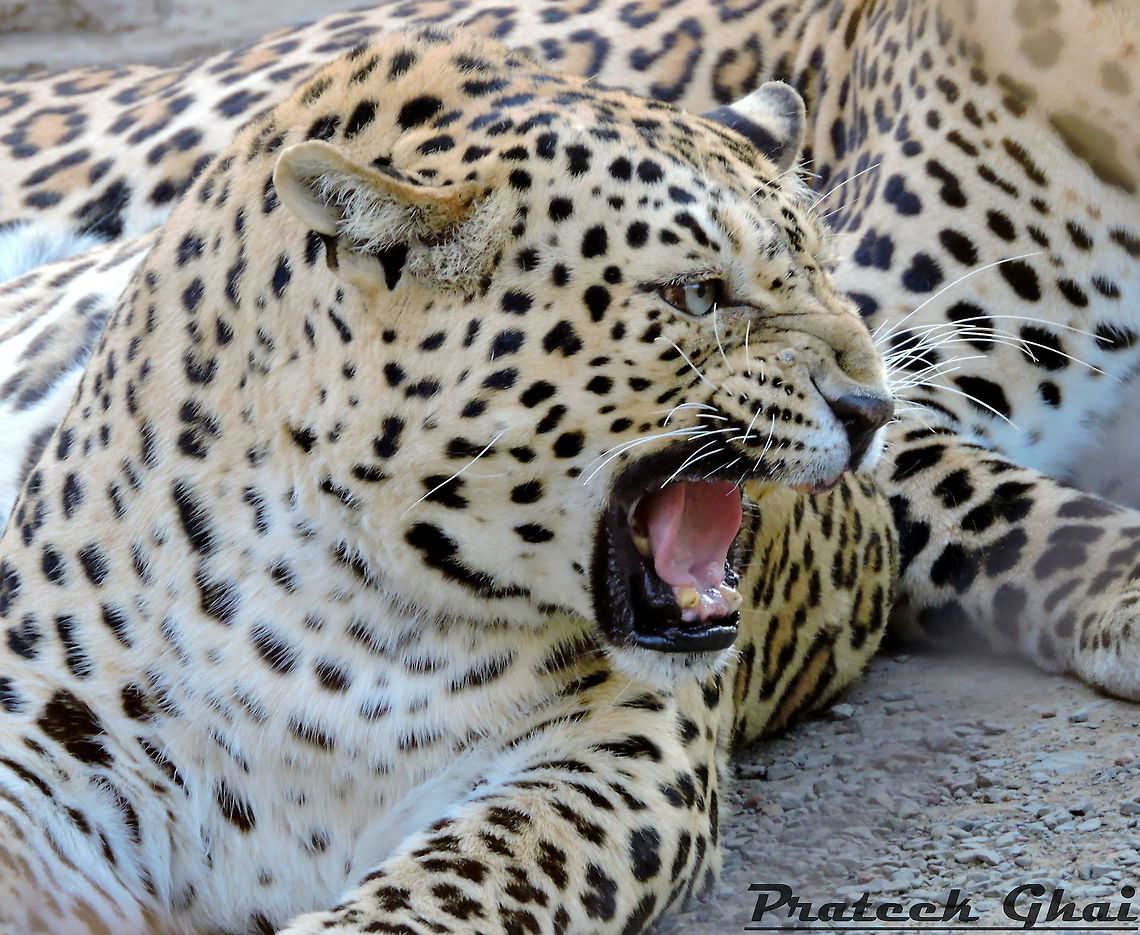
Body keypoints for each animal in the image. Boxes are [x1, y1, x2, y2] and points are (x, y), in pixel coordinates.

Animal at [0, 27, 908, 935]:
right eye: (695, 294)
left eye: (827, 273)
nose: (874, 408)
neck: (337, 613)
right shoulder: (48, 725)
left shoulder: (624, 751)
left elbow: (467, 877)